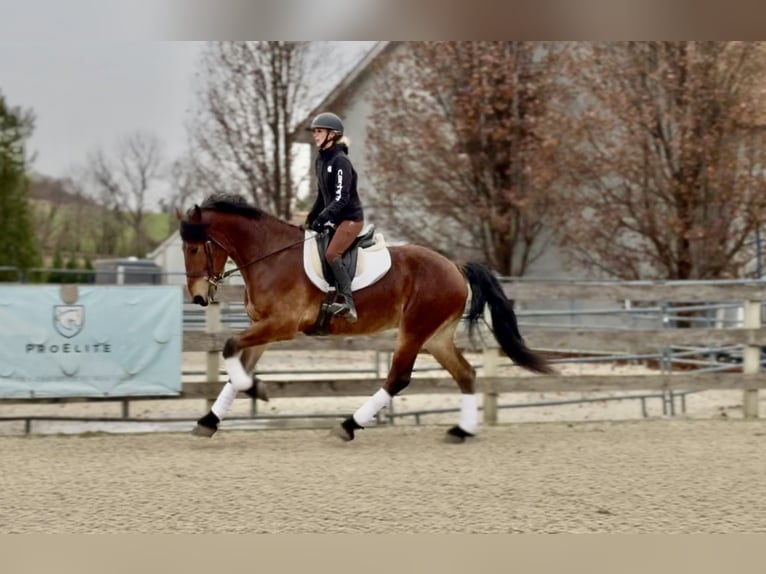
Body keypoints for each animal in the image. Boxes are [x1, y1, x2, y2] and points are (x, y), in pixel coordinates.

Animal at [179, 193, 555, 443]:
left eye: (195, 248)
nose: (198, 297)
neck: (270, 256)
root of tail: (454, 266)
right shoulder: (265, 328)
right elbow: (237, 368)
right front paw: (211, 419)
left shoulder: (281, 326)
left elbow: (229, 347)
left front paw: (255, 390)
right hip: (436, 336)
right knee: (465, 374)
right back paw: (461, 431)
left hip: (414, 330)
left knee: (398, 379)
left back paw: (349, 425)